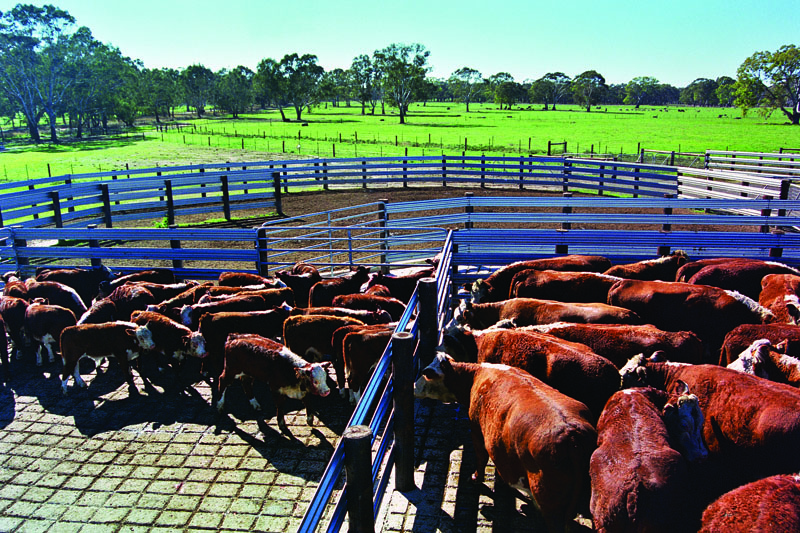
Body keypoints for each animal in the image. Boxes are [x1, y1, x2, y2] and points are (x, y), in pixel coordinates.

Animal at [414, 355, 597, 533]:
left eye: (425, 373)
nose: (414, 387)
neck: (474, 376)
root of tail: (570, 433)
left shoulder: (476, 430)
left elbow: (481, 458)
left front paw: (475, 478)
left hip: (548, 500)